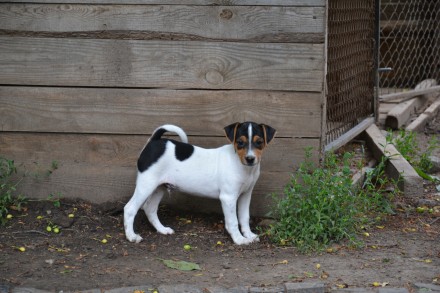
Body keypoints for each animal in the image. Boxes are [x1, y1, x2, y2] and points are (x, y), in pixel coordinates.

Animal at [124, 121, 276, 244]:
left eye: (259, 142)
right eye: (239, 142)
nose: (250, 159)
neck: (241, 165)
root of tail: (155, 140)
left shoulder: (245, 195)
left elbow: (244, 217)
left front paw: (249, 235)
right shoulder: (228, 198)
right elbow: (233, 221)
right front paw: (239, 239)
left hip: (159, 187)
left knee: (149, 208)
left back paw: (162, 229)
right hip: (146, 184)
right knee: (130, 208)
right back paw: (132, 236)